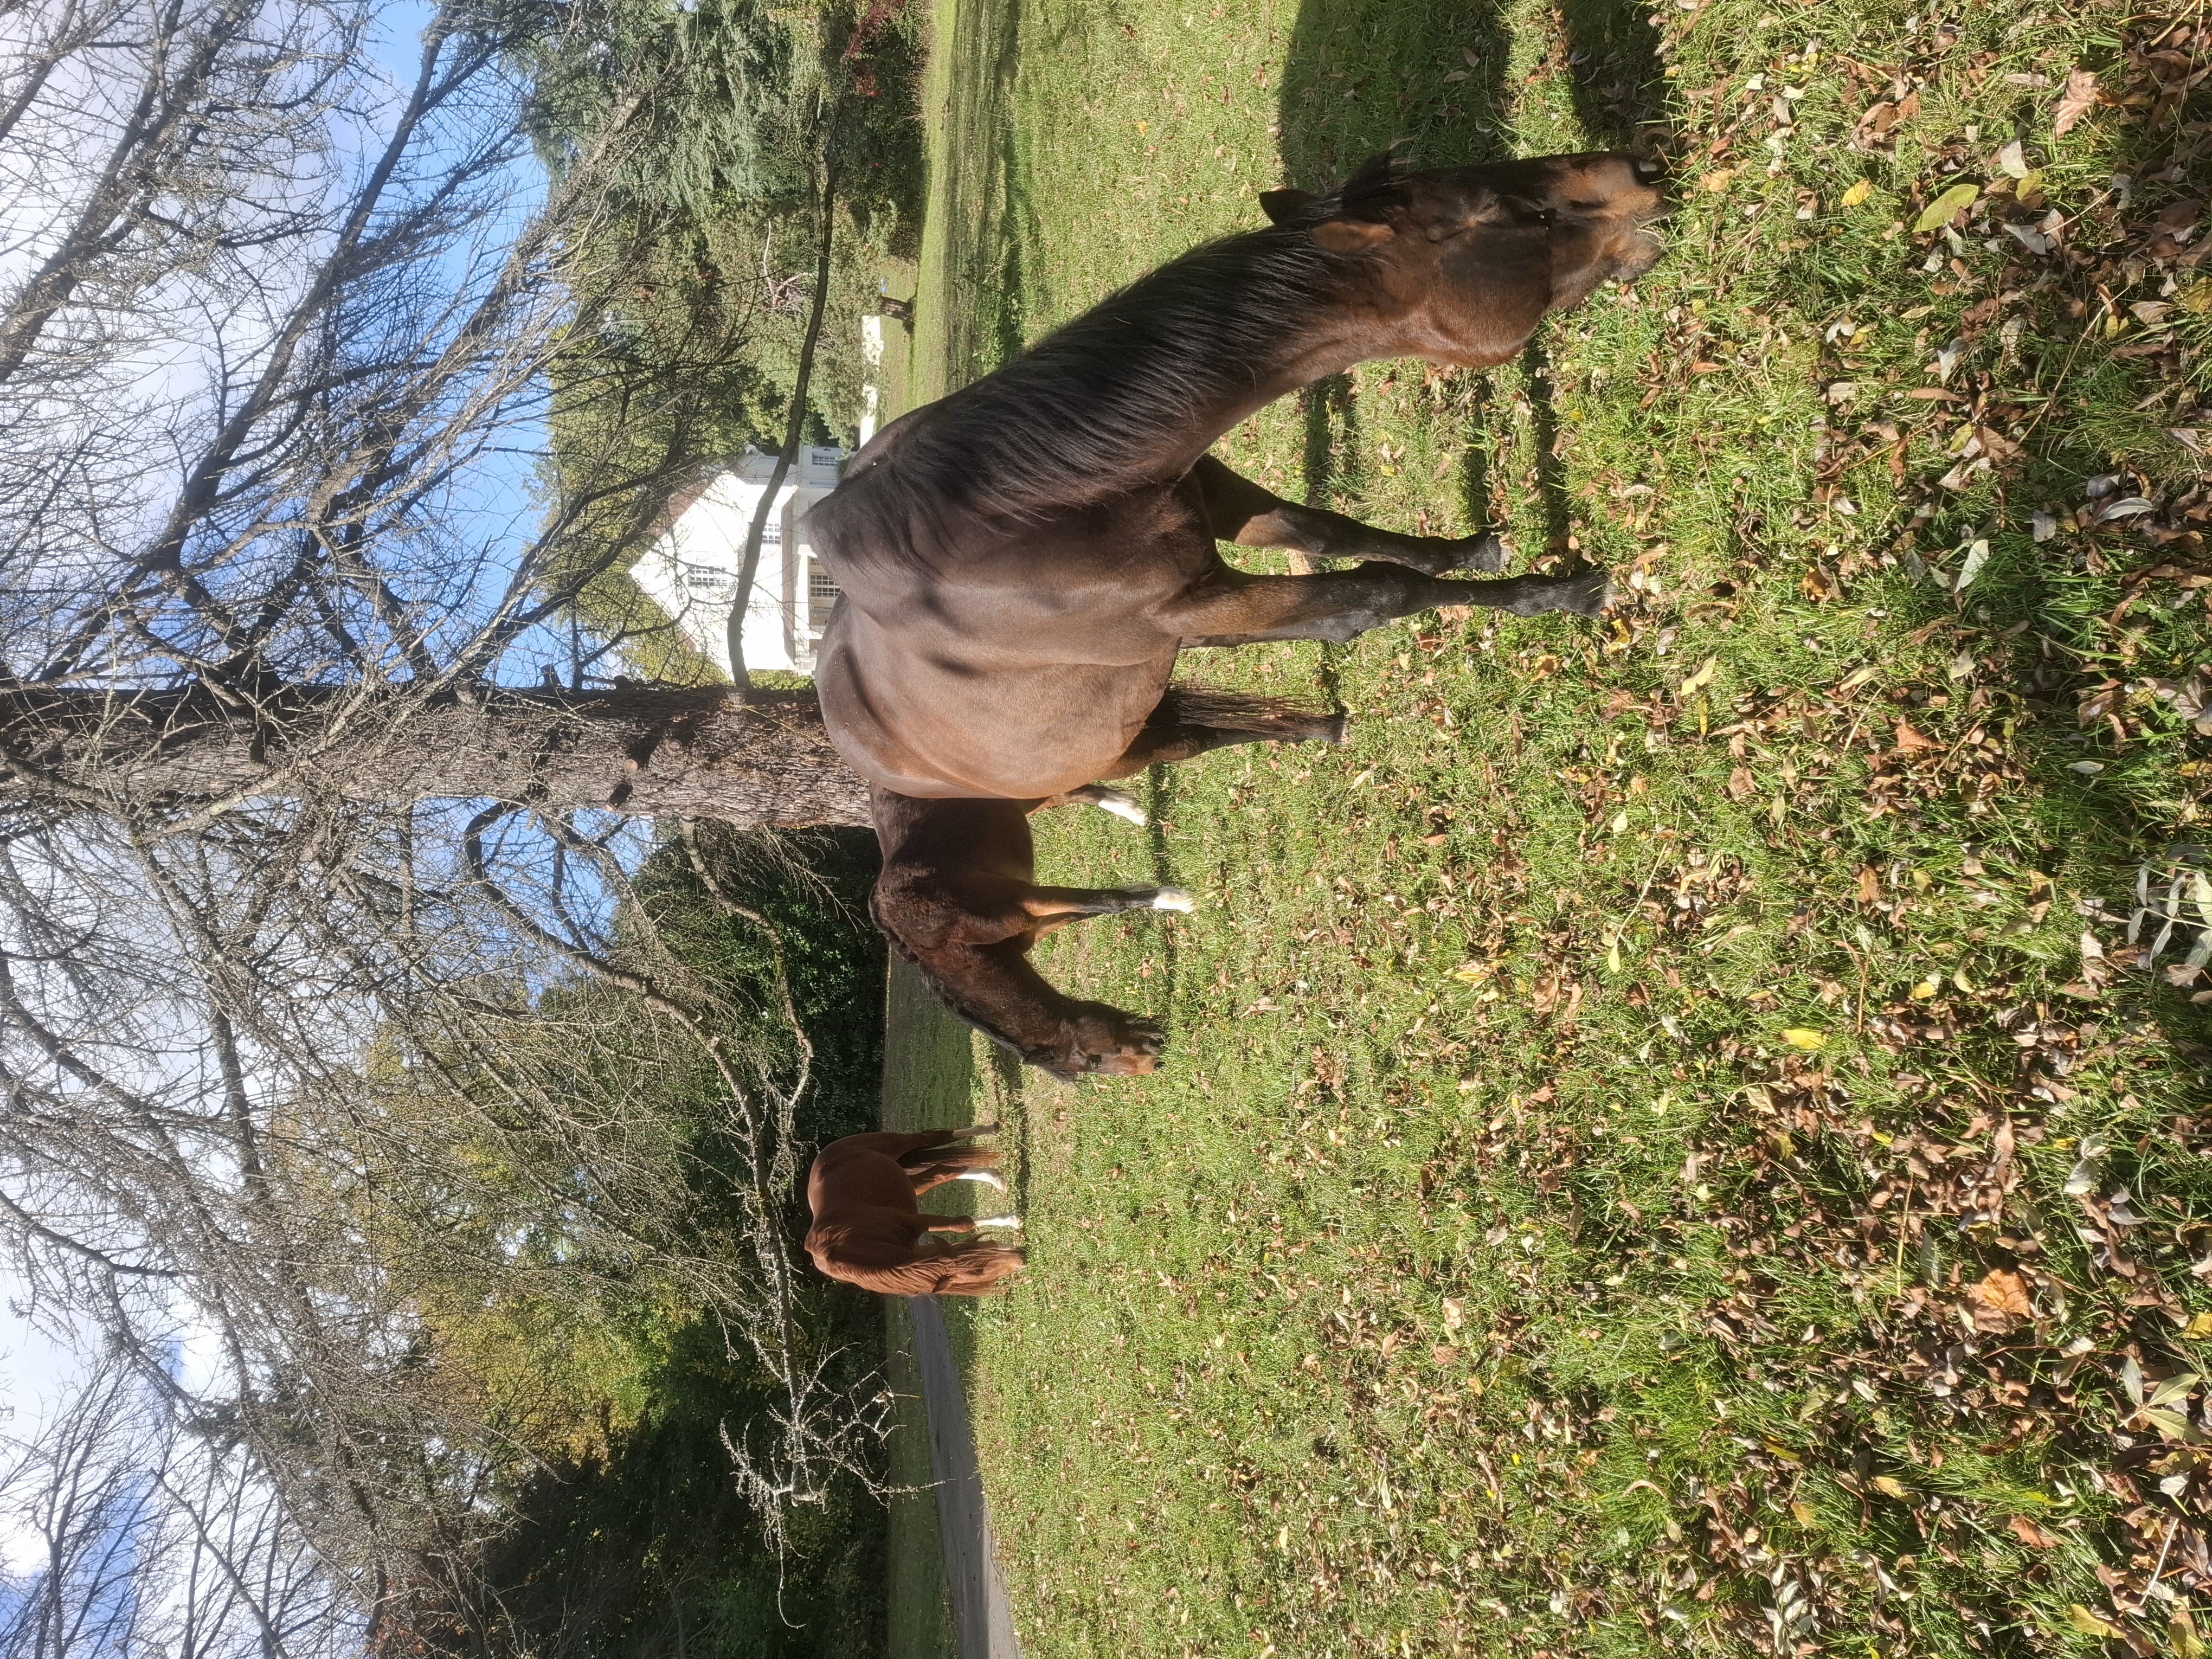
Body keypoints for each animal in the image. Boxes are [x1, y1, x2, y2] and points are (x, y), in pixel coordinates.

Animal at [803, 1126, 1025, 1296]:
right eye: (979, 1271)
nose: (1020, 1257)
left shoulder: (916, 1222)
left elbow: (961, 1224)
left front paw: (1010, 1222)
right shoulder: (916, 1245)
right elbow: (962, 1224)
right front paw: (1009, 1225)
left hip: (899, 1144)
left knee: (937, 1138)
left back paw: (990, 1132)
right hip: (911, 1183)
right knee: (941, 1172)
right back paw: (995, 1177)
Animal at [809, 149, 1668, 1071]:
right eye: (1516, 217)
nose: (1638, 170)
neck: (1012, 521)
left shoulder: (1214, 500)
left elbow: (1333, 531)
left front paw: (1470, 555)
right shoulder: (1195, 607)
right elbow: (1373, 593)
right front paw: (1557, 594)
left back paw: (1325, 729)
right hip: (1119, 746)